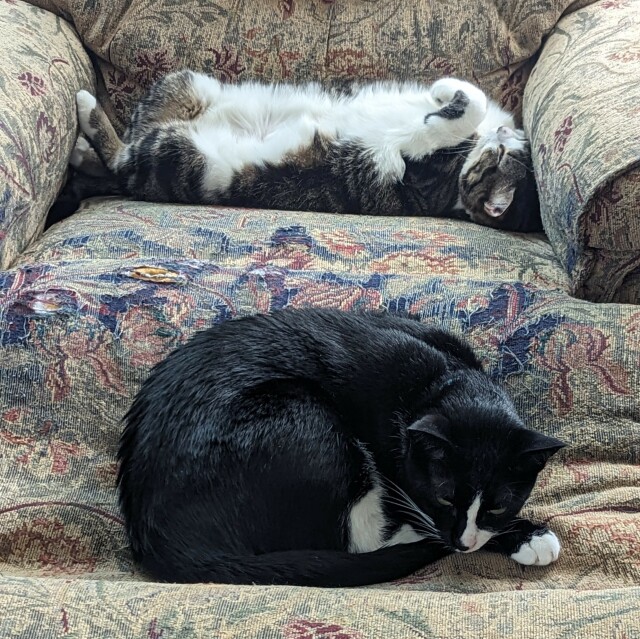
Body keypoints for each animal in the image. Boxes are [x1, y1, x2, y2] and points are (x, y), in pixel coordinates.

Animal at [67, 72, 544, 232]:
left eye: (499, 160)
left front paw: (449, 102)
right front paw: (444, 89)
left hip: (178, 154)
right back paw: (81, 146)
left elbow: (467, 109)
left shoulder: (418, 171)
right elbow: (472, 94)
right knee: (137, 126)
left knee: (123, 153)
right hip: (190, 84)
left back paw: (84, 114)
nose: (503, 135)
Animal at [117, 308, 564, 588]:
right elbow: (423, 523)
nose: (463, 543)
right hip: (302, 414)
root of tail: (158, 537)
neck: (439, 379)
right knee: (346, 539)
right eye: (444, 497)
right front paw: (529, 537)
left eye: (497, 506)